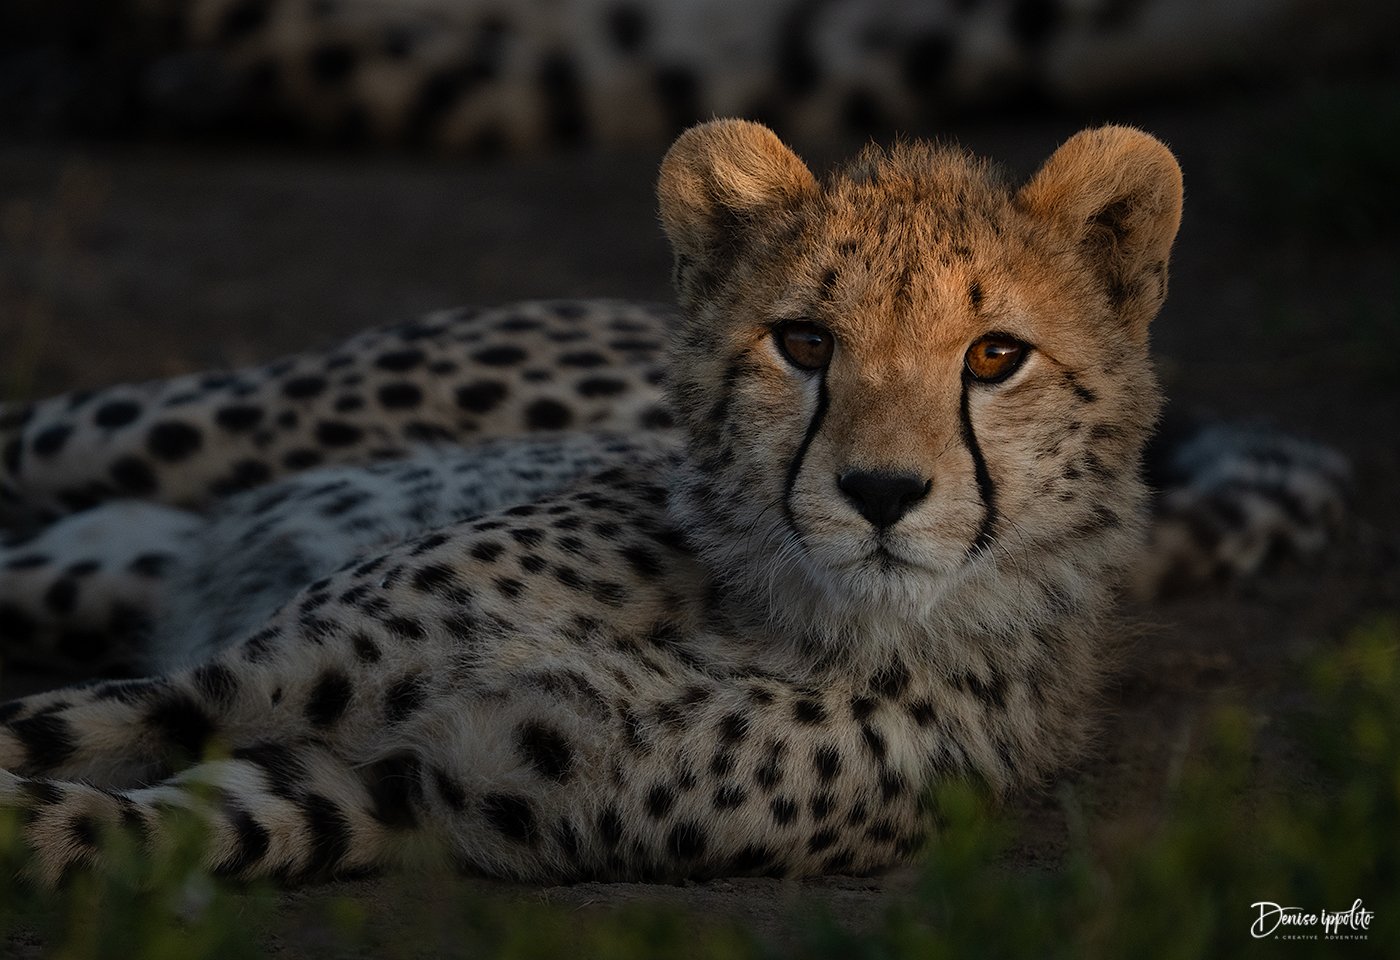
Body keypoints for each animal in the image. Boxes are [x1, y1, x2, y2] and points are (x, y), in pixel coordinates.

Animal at [0, 120, 1351, 888]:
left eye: (993, 357)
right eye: (802, 342)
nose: (879, 493)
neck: (772, 611)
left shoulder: (391, 791)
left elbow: (99, 822)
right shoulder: (229, 682)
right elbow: (52, 731)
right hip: (220, 423)